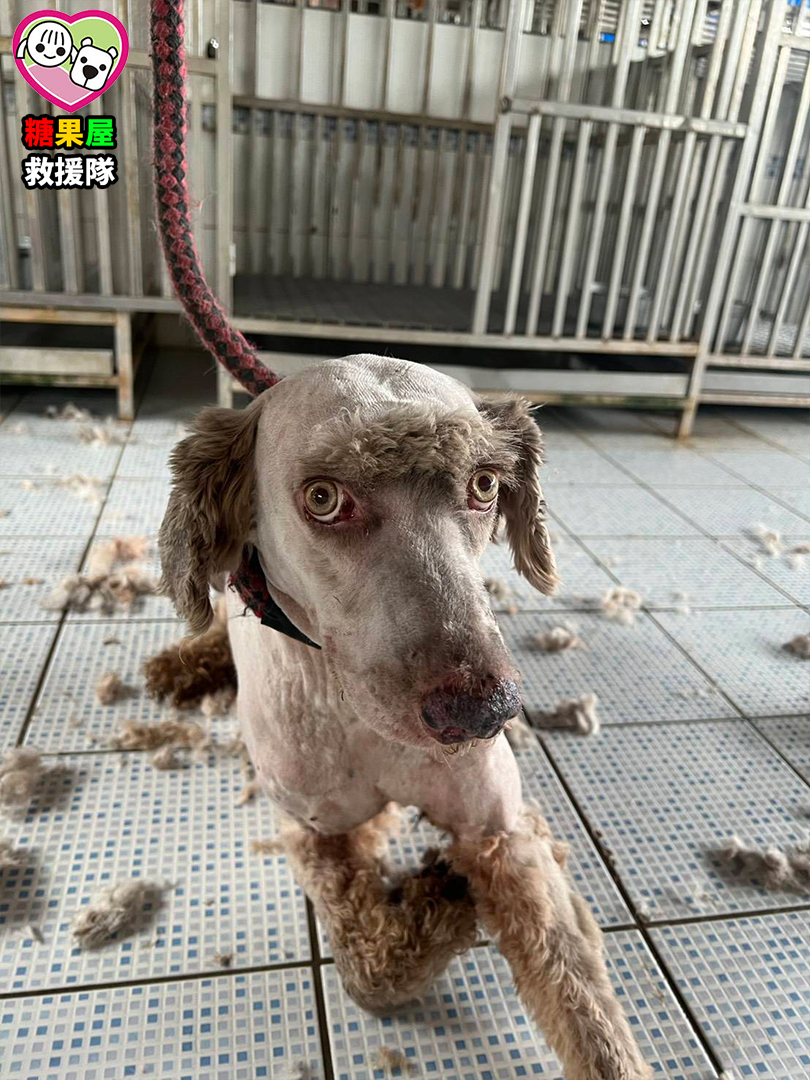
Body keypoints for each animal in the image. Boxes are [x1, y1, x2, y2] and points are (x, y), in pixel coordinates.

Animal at [155, 354, 650, 1080]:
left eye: (484, 484)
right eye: (323, 498)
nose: (484, 712)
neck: (357, 718)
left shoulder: (498, 829)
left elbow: (584, 1009)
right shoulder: (315, 831)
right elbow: (368, 975)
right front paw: (436, 902)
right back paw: (183, 666)